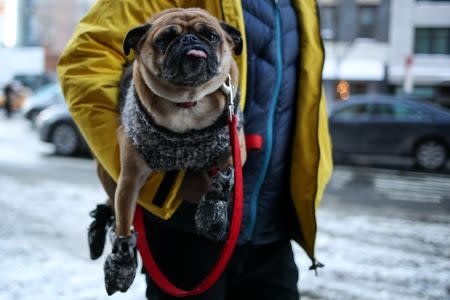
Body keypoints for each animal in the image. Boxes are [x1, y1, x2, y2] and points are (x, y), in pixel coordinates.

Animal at [94, 7, 246, 296]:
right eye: (165, 38)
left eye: (211, 35)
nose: (190, 40)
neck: (187, 103)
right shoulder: (129, 179)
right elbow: (123, 221)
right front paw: (121, 264)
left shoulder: (234, 143)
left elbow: (226, 172)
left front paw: (212, 211)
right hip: (108, 174)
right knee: (112, 208)